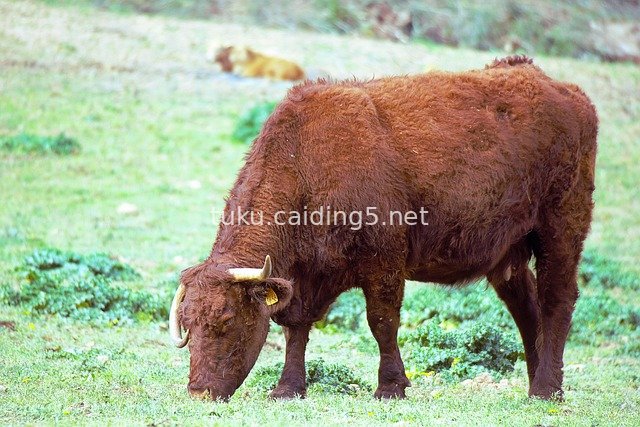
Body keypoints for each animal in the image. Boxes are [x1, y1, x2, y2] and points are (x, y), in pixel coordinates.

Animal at [169, 55, 598, 402]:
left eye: (226, 320)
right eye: (188, 324)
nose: (200, 392)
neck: (305, 161)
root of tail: (570, 94)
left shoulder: (384, 264)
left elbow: (381, 322)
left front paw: (391, 387)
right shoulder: (304, 277)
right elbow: (296, 327)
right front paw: (288, 388)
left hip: (561, 230)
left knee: (557, 300)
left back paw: (547, 389)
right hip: (508, 254)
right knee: (525, 307)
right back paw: (536, 383)